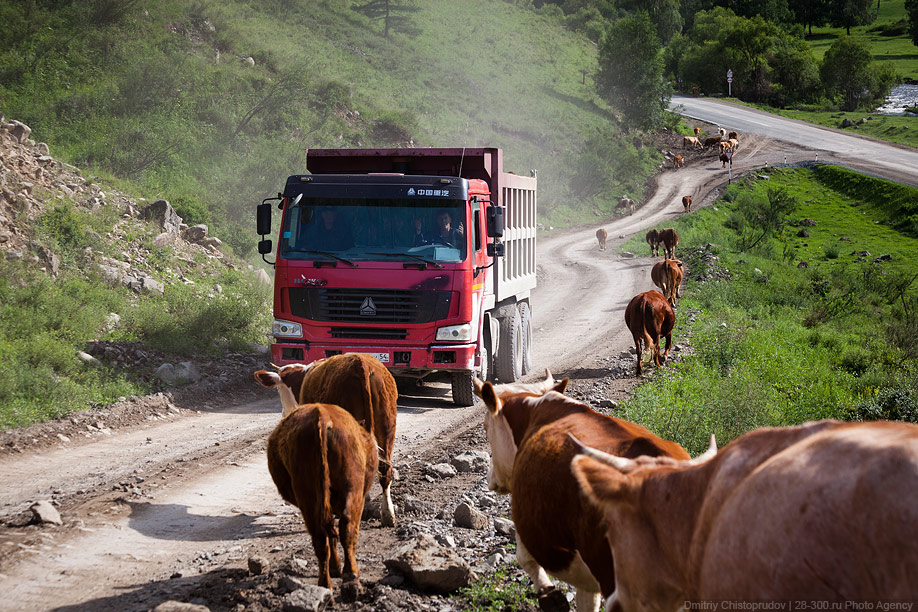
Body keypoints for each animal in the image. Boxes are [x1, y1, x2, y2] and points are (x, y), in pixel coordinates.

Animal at [253, 352, 398, 528]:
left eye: (278, 390)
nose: (283, 414)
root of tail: (360, 363)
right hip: (387, 424)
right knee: (384, 468)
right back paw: (387, 515)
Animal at [268, 402, 380, 596]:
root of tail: (322, 416)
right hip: (353, 490)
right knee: (347, 527)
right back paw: (350, 575)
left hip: (309, 498)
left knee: (321, 536)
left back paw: (326, 583)